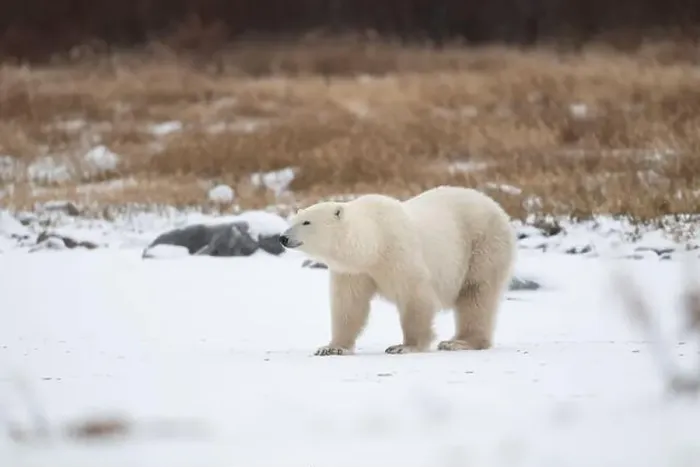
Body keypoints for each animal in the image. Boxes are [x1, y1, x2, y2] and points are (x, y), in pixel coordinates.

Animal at [279, 186, 517, 356]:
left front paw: (405, 346)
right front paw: (332, 347)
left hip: (483, 244)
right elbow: (349, 304)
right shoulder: (354, 271)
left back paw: (458, 342)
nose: (283, 237)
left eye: (306, 222)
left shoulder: (398, 251)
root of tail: (496, 207)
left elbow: (415, 296)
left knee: (476, 293)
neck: (374, 242)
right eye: (293, 220)